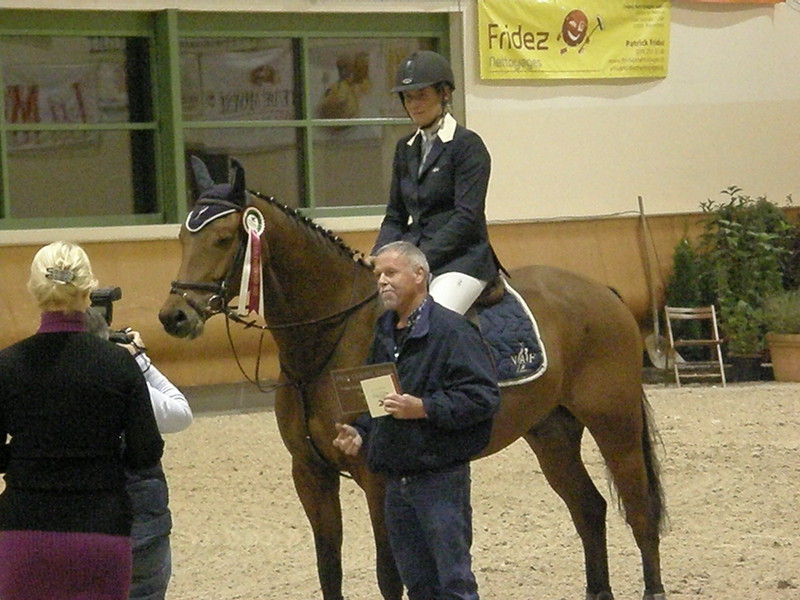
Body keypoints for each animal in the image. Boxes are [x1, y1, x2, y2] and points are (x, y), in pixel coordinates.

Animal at [158, 160, 667, 600]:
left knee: (640, 509)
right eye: (182, 236)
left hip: (615, 424)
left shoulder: (376, 476)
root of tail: (603, 292)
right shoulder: (310, 474)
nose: (174, 316)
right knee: (589, 508)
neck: (323, 343)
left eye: (225, 238)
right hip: (551, 432)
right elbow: (329, 570)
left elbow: (389, 575)